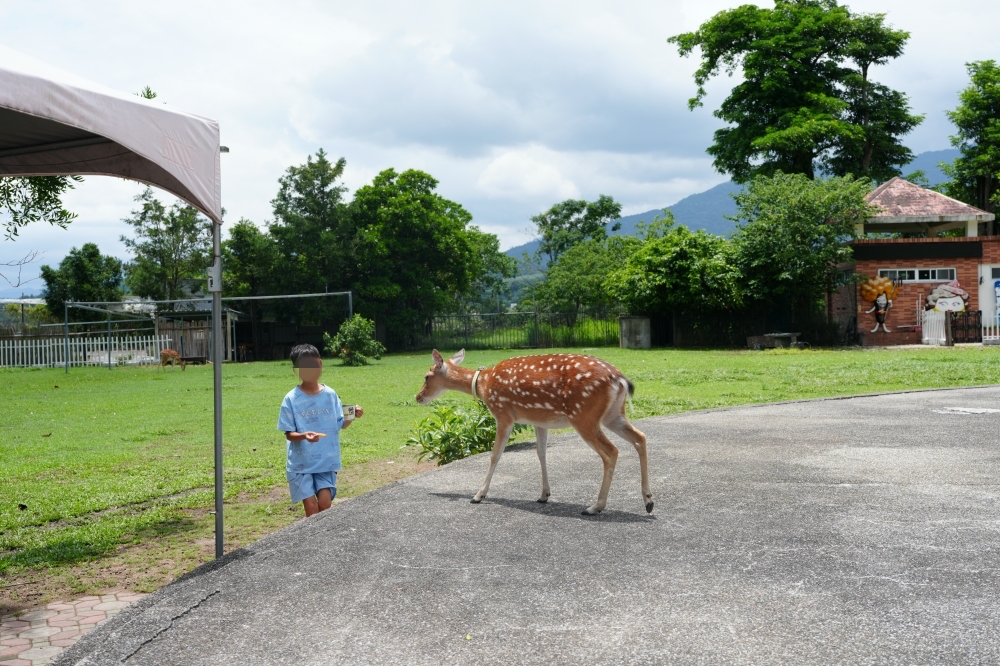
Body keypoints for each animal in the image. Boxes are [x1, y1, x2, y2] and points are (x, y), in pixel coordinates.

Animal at [416, 349, 652, 515]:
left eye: (426, 376)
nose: (418, 397)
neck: (483, 385)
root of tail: (620, 379)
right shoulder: (539, 420)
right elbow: (541, 453)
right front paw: (544, 494)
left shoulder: (503, 414)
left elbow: (495, 455)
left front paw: (478, 495)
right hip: (613, 414)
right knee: (640, 437)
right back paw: (648, 500)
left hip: (583, 415)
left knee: (611, 451)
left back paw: (595, 507)